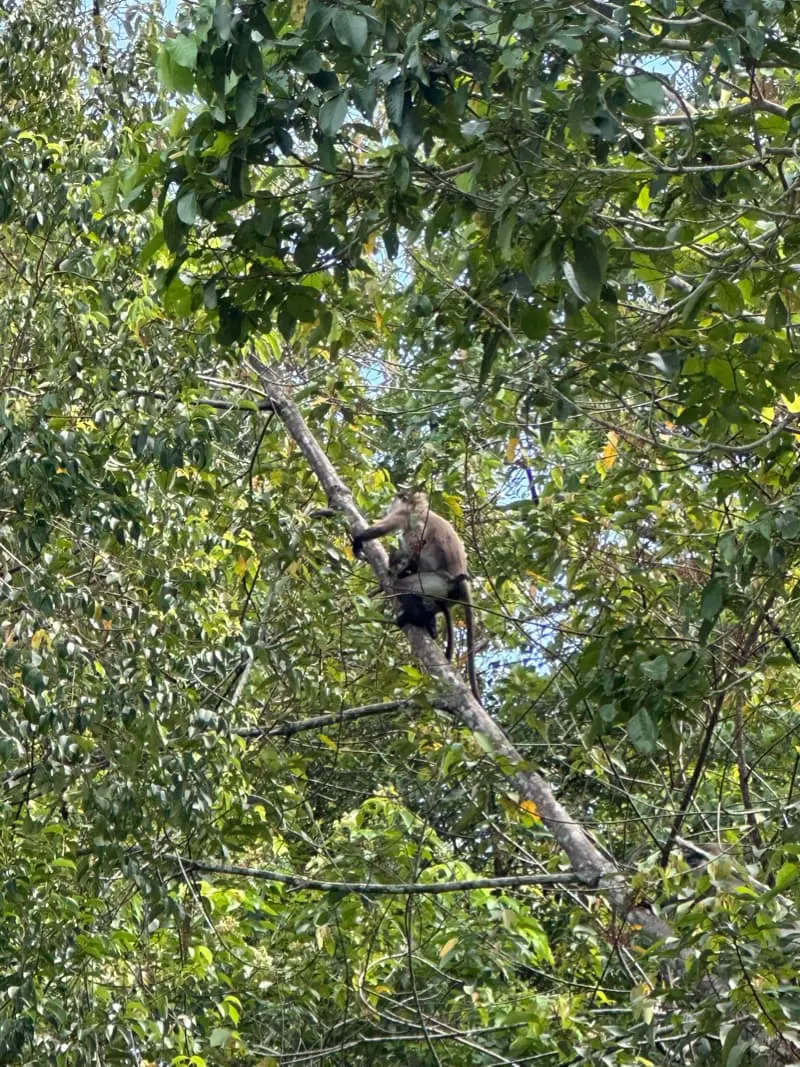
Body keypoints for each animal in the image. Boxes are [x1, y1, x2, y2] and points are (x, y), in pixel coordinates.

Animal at [353, 490, 480, 702]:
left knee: (403, 585)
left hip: (436, 581)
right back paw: (429, 621)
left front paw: (357, 542)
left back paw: (415, 616)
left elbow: (387, 532)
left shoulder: (404, 515)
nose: (390, 504)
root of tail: (459, 578)